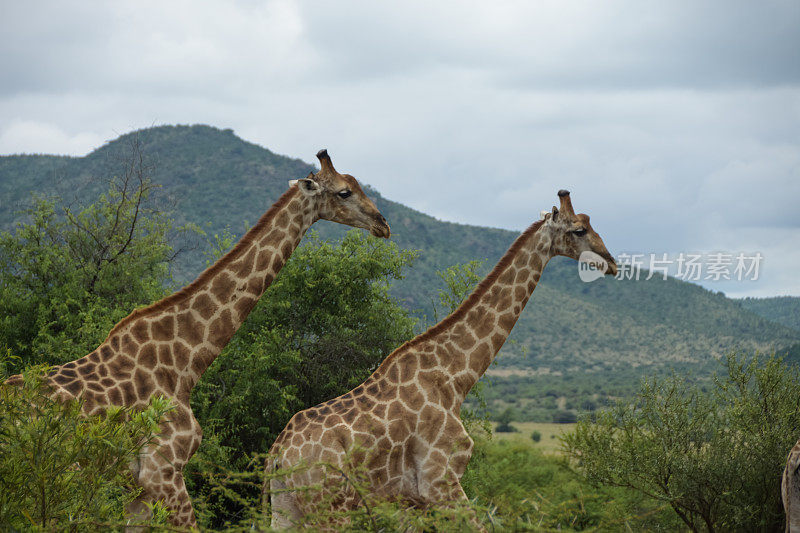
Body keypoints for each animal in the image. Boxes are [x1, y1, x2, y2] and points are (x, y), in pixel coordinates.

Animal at [268, 189, 620, 524]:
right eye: (579, 229)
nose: (612, 262)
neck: (456, 377)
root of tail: (277, 456)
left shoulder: (410, 499)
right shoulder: (440, 481)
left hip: (286, 508)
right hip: (331, 506)